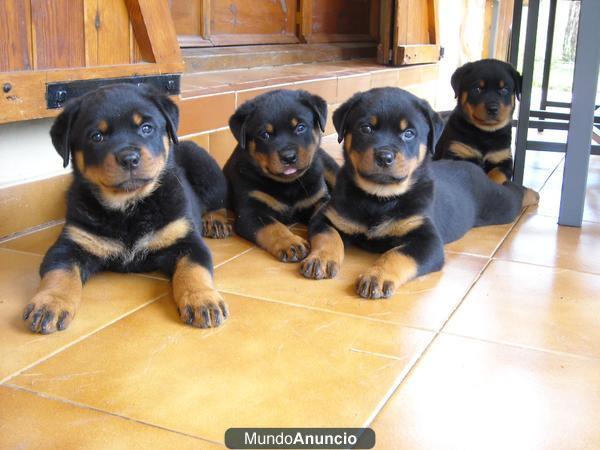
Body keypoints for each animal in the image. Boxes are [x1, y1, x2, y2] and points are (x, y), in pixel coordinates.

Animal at [23, 83, 230, 334]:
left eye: (146, 128)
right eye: (97, 136)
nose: (129, 158)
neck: (129, 207)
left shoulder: (186, 240)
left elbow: (193, 270)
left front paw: (203, 299)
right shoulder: (72, 243)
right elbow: (59, 272)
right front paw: (50, 303)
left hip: (206, 169)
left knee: (219, 201)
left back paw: (216, 221)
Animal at [224, 89, 340, 262]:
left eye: (300, 127)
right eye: (265, 134)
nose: (288, 157)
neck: (288, 185)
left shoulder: (319, 199)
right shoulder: (250, 211)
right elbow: (273, 227)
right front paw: (291, 243)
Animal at [300, 88, 540, 298]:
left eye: (409, 134)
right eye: (366, 129)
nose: (385, 156)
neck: (379, 198)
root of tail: (472, 167)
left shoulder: (428, 241)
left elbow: (395, 254)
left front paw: (378, 276)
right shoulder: (327, 216)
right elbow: (327, 236)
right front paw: (321, 258)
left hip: (499, 205)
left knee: (514, 193)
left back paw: (534, 195)